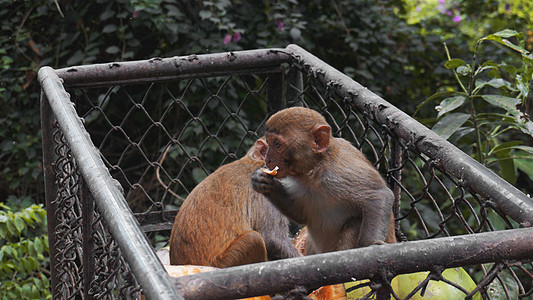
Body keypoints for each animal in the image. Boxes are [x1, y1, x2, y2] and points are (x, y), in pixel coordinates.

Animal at [250, 106, 394, 254]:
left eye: (277, 144)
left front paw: (369, 244)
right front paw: (263, 181)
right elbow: (300, 213)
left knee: (355, 222)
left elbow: (379, 195)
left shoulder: (339, 173)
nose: (267, 159)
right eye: (269, 143)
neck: (314, 170)